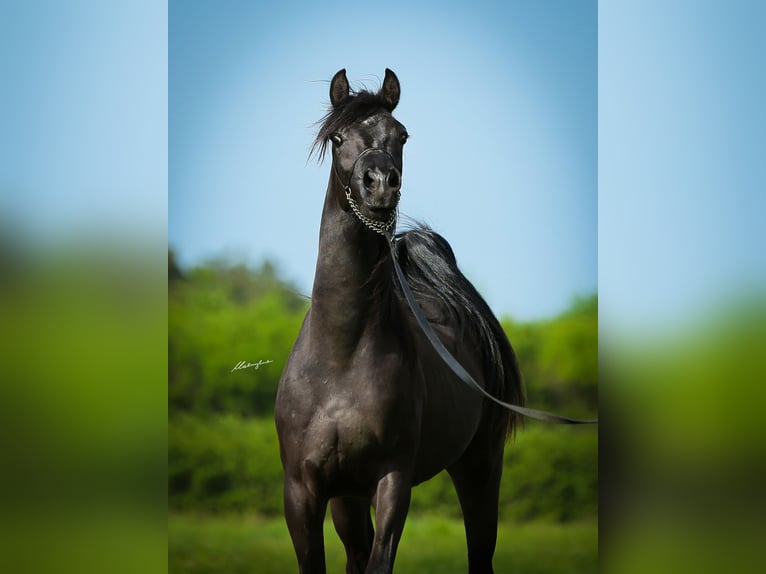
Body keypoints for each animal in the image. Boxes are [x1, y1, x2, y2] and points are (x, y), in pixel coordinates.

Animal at [275, 68, 525, 574]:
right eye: (338, 137)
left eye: (402, 135)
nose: (380, 185)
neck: (341, 359)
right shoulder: (304, 492)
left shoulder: (392, 481)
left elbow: (380, 560)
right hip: (347, 499)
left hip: (479, 468)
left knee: (480, 552)